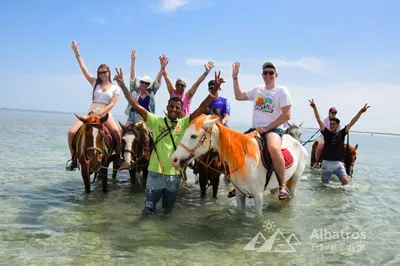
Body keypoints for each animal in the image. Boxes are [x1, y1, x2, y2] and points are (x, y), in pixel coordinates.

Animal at [170, 115, 308, 215]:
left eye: (194, 136)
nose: (174, 159)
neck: (244, 160)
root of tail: (297, 143)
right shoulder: (240, 195)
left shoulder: (258, 196)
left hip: (295, 180)